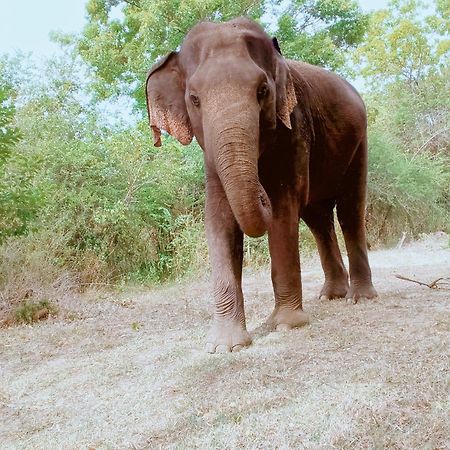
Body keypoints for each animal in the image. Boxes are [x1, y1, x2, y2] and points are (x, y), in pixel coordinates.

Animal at [147, 17, 376, 354]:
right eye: (194, 99)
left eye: (263, 90)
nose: (260, 191)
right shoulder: (211, 156)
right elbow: (219, 219)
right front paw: (225, 346)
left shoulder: (294, 128)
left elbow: (282, 206)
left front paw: (287, 325)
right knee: (318, 219)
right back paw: (330, 295)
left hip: (359, 142)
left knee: (349, 209)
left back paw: (359, 299)